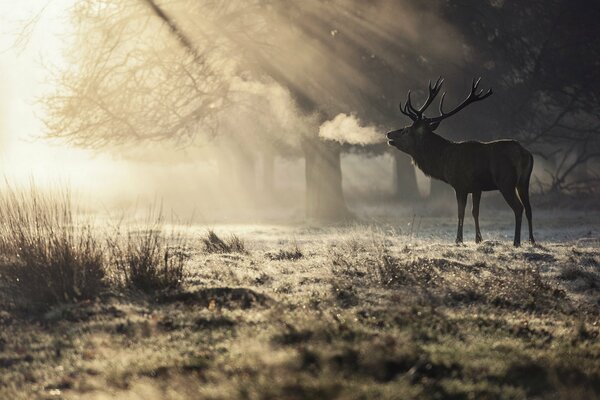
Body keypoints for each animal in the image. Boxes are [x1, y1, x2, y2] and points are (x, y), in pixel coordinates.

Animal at [390, 77, 536, 247]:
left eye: (405, 130)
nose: (389, 133)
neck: (443, 161)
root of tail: (525, 154)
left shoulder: (460, 185)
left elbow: (461, 212)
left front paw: (458, 239)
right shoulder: (477, 187)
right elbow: (475, 212)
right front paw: (478, 239)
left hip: (506, 181)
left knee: (518, 208)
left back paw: (516, 241)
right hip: (524, 181)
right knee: (529, 208)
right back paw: (532, 240)